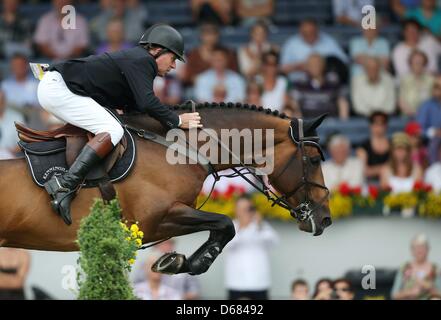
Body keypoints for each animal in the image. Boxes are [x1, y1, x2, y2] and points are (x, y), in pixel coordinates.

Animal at [0, 102, 330, 276]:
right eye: (314, 160)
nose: (325, 218)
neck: (179, 149)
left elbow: (222, 227)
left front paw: (179, 261)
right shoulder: (154, 220)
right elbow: (226, 224)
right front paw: (184, 262)